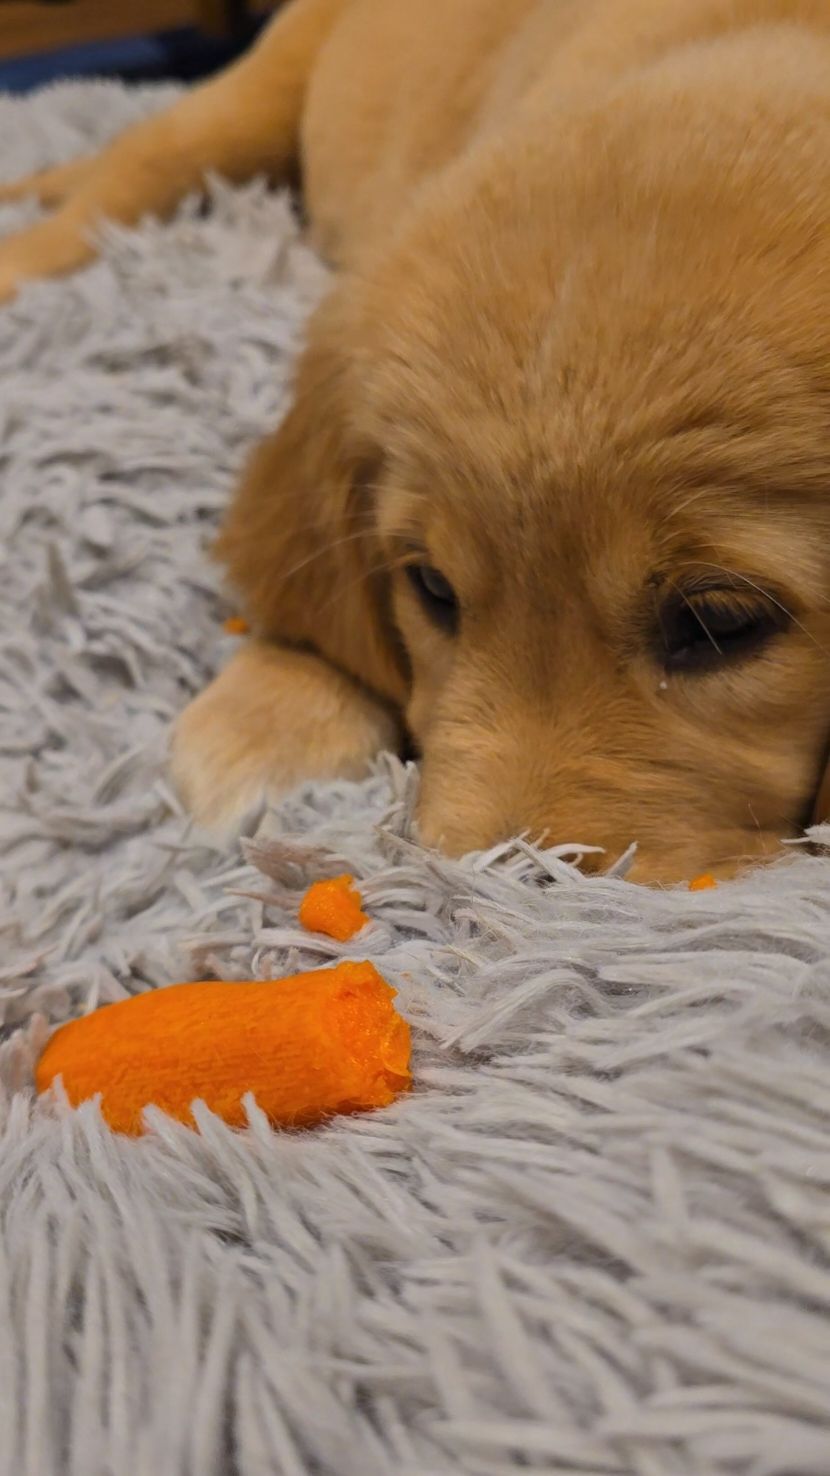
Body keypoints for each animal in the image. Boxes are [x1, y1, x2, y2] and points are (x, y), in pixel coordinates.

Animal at [4, 0, 827, 873]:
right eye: (432, 586)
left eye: (721, 623)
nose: (494, 886)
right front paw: (273, 713)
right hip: (250, 97)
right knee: (118, 182)